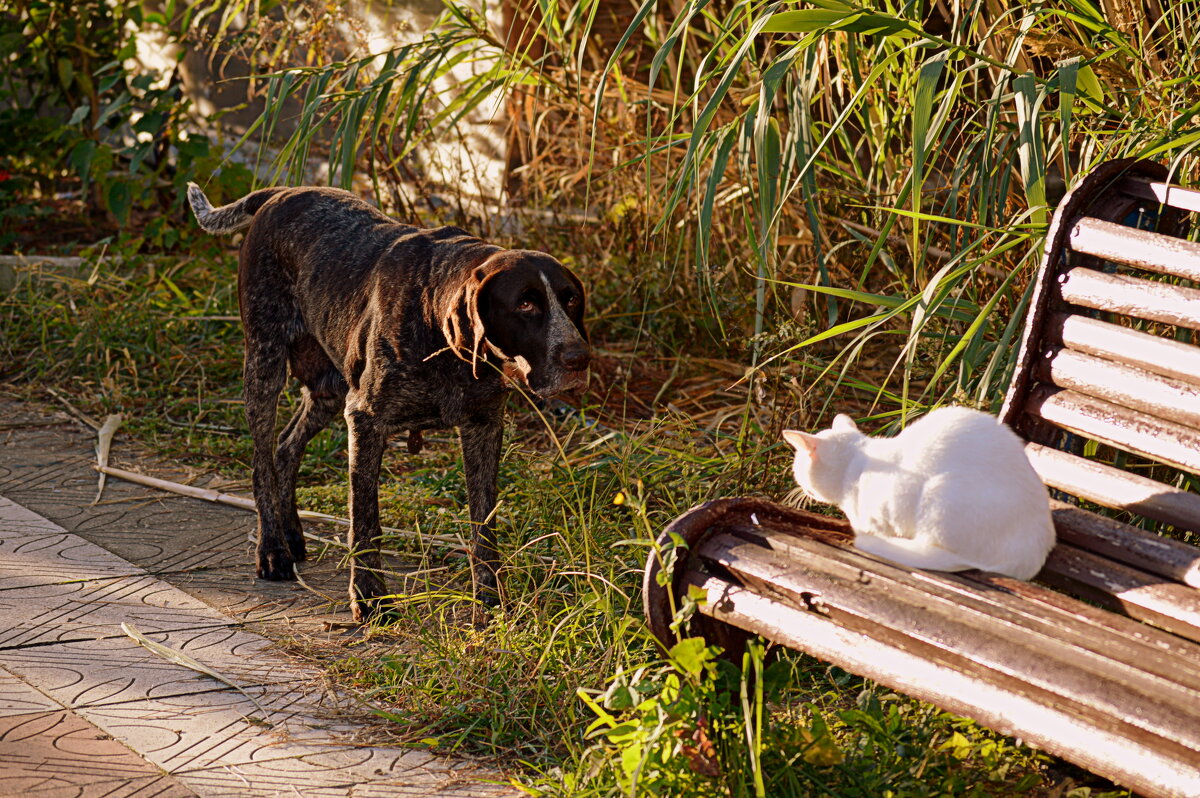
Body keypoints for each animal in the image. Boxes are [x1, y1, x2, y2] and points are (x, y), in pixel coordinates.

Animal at [186, 183, 590, 619]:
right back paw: (272, 549)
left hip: (329, 387)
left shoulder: (483, 426)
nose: (579, 358)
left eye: (570, 300)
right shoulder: (365, 420)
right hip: (265, 364)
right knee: (262, 462)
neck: (439, 334)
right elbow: (365, 522)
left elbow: (484, 523)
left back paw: (292, 533)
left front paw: (490, 597)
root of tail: (283, 191)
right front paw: (368, 597)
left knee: (285, 447)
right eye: (525, 303)